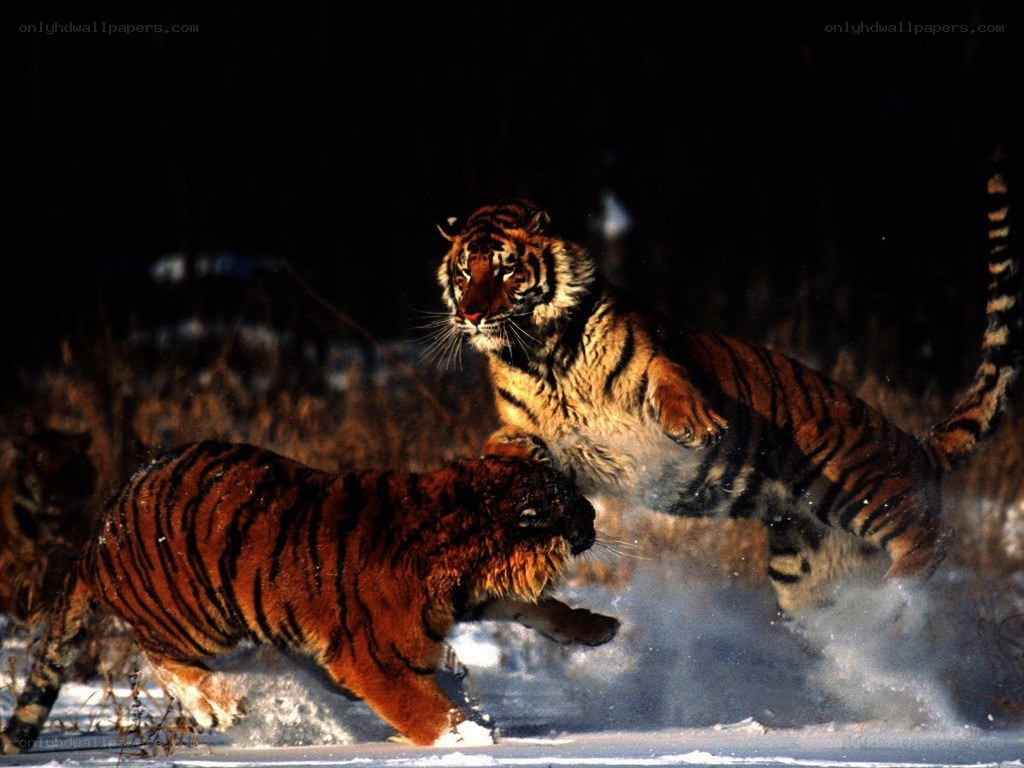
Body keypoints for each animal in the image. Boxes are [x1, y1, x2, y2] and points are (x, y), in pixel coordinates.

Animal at [435, 153, 1020, 615]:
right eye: (464, 273)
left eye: (507, 270)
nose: (471, 315)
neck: (540, 354)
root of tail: (919, 444)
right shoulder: (539, 435)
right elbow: (503, 445)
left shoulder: (658, 355)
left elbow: (671, 382)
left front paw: (699, 426)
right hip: (803, 572)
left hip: (854, 483)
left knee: (931, 537)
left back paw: (896, 600)